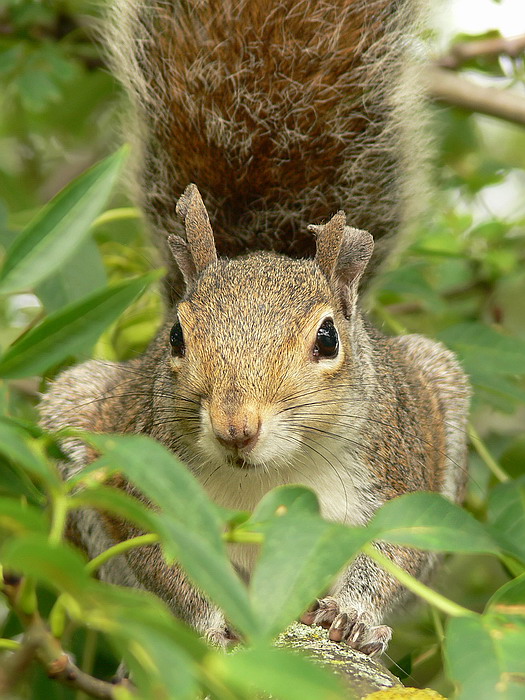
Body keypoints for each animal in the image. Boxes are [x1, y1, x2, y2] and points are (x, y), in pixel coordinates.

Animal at [39, 0, 468, 656]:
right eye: (177, 338)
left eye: (328, 339)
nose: (236, 427)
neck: (274, 476)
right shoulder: (145, 481)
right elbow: (164, 559)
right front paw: (212, 623)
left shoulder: (400, 470)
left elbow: (396, 549)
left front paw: (354, 615)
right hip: (78, 406)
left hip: (439, 383)